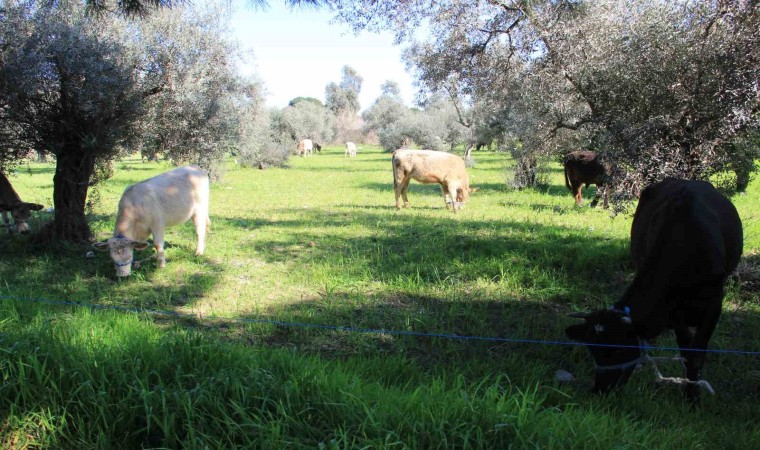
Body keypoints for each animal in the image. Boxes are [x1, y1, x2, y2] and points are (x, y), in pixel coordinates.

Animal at [564, 178, 744, 402]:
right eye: (593, 350)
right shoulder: (674, 312)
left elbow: (695, 356)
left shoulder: (714, 305)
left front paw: (693, 398)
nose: (600, 389)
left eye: (619, 350)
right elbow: (686, 352)